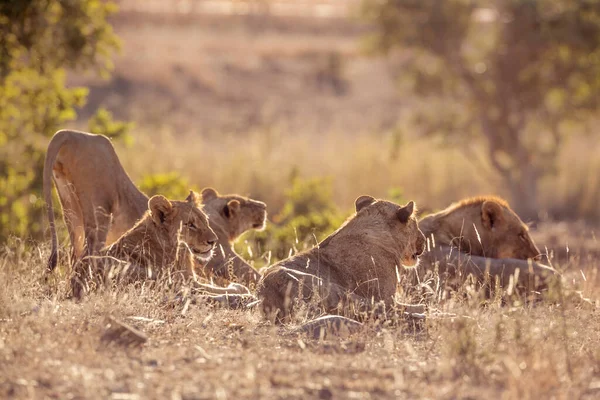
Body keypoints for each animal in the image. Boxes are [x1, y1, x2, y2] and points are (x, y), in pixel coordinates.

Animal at [43, 130, 266, 286]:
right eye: (245, 203)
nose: (263, 206)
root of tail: (68, 133)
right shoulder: (221, 258)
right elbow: (250, 273)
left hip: (70, 209)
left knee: (75, 254)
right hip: (100, 211)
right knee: (88, 255)